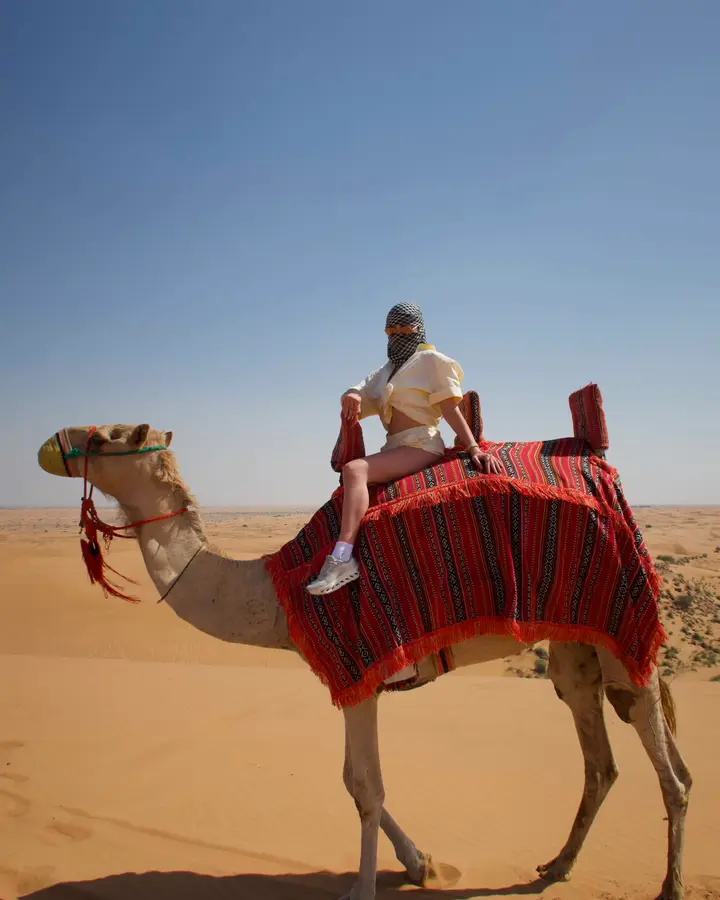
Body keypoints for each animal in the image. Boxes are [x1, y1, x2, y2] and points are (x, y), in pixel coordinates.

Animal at [37, 423, 692, 900]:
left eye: (104, 438)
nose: (52, 446)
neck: (278, 595)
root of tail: (604, 471)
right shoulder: (356, 680)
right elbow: (355, 782)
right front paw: (419, 862)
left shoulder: (359, 668)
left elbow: (364, 787)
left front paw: (364, 888)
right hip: (575, 644)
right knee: (600, 757)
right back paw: (556, 867)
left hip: (621, 619)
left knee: (667, 759)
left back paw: (669, 886)